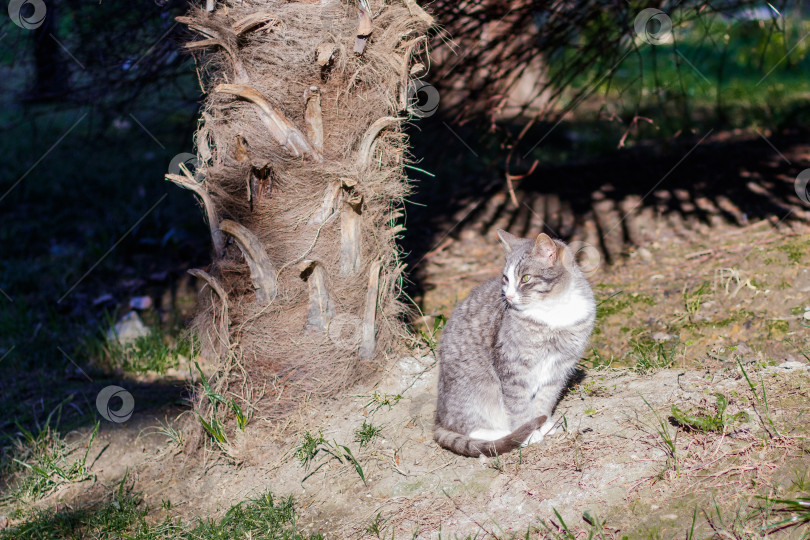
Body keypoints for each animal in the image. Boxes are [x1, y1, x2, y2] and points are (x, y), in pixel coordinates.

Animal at [436, 229, 592, 456]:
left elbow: (546, 398)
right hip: (476, 389)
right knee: (468, 428)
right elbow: (518, 405)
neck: (552, 312)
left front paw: (543, 424)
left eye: (525, 278)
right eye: (505, 278)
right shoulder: (513, 366)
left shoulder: (560, 366)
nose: (508, 296)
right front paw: (528, 434)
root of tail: (438, 418)